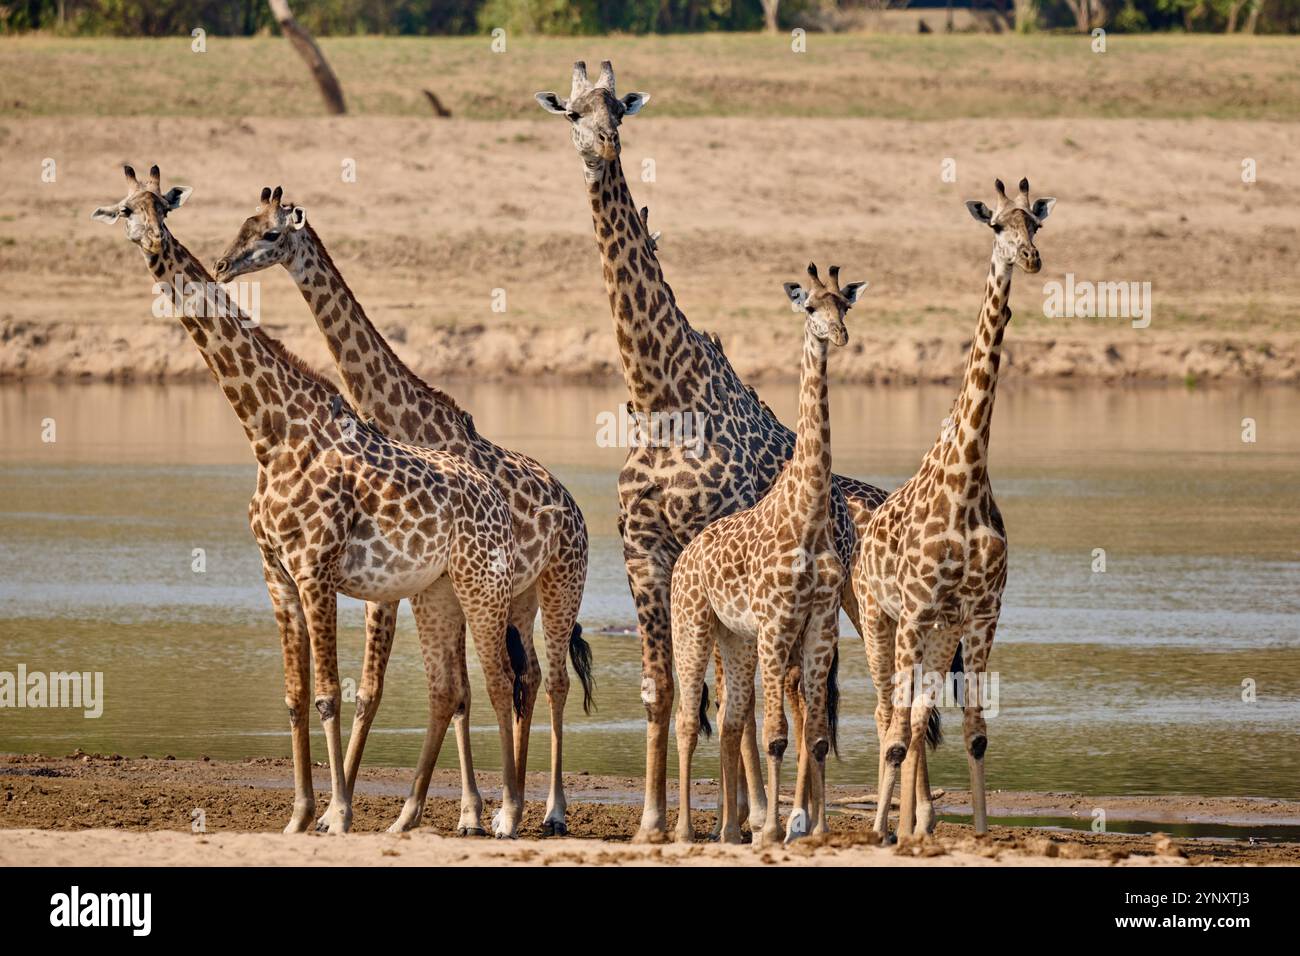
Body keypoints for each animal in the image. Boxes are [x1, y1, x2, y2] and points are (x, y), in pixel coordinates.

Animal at [91, 164, 530, 837]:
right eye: (123, 210)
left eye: (161, 207)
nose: (153, 243)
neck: (269, 432)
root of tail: (496, 499)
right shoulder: (275, 572)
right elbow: (297, 696)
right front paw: (299, 815)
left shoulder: (315, 569)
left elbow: (330, 693)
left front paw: (339, 814)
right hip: (436, 592)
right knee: (452, 688)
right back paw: (429, 815)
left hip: (483, 586)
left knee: (503, 680)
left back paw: (505, 815)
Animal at [212, 187, 592, 837]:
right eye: (244, 224)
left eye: (269, 234)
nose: (222, 265)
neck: (405, 421)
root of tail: (576, 509)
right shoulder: (406, 585)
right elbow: (415, 690)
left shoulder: (407, 584)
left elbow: (424, 690)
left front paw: (462, 812)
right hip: (517, 597)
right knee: (528, 677)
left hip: (555, 586)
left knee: (555, 680)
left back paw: (551, 811)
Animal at [672, 264, 866, 846]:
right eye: (811, 308)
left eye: (845, 306)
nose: (838, 336)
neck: (807, 518)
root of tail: (686, 554)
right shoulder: (778, 621)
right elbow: (778, 734)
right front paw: (774, 831)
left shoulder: (819, 622)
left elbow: (816, 735)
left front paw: (811, 829)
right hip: (692, 624)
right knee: (688, 721)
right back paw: (685, 831)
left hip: (734, 638)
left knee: (730, 721)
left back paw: (728, 832)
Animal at [854, 178, 1055, 840]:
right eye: (995, 226)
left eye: (1034, 224)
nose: (1030, 259)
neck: (966, 479)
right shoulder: (914, 612)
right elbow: (900, 729)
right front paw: (885, 831)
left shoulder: (982, 614)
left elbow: (973, 731)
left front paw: (980, 833)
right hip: (879, 618)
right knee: (886, 713)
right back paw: (887, 824)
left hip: (940, 634)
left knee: (917, 718)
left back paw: (919, 824)